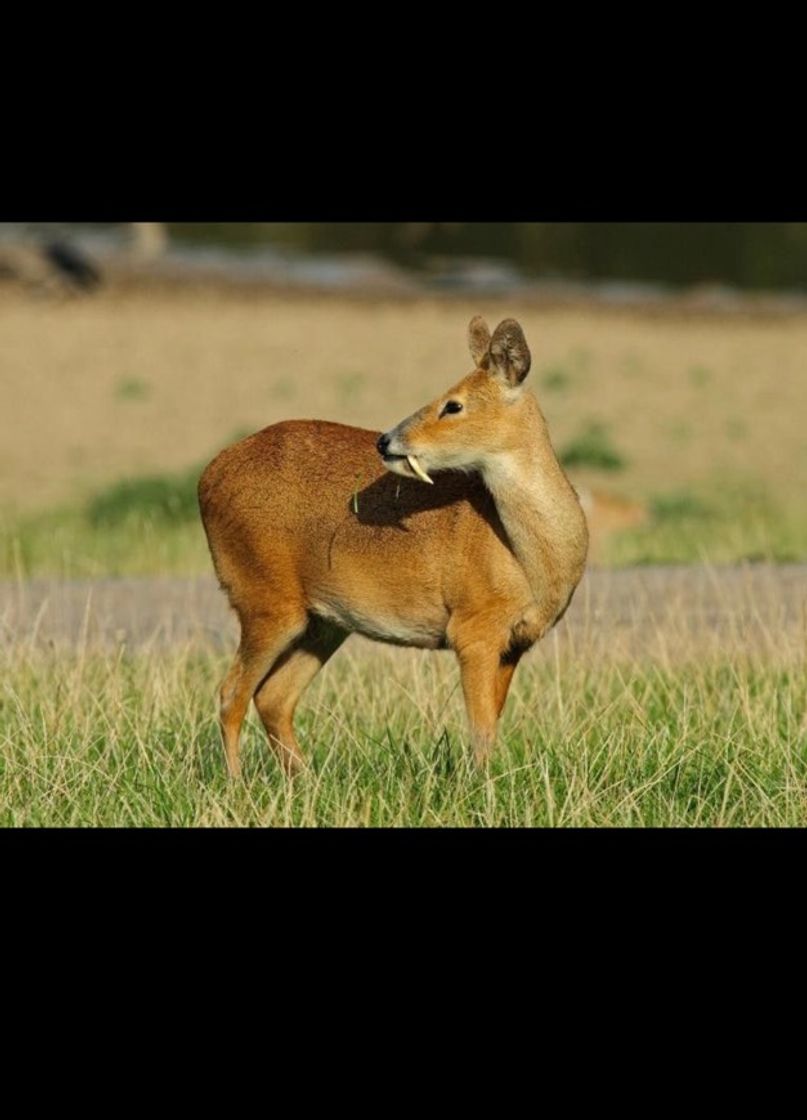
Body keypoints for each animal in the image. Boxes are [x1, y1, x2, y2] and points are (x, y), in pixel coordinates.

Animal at [194, 311, 586, 775]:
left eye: (454, 404)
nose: (386, 440)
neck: (529, 559)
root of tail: (207, 477)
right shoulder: (473, 628)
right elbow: (481, 730)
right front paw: (482, 785)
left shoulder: (515, 643)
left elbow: (491, 722)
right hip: (264, 599)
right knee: (231, 693)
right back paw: (238, 784)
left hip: (323, 621)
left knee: (272, 697)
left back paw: (305, 781)